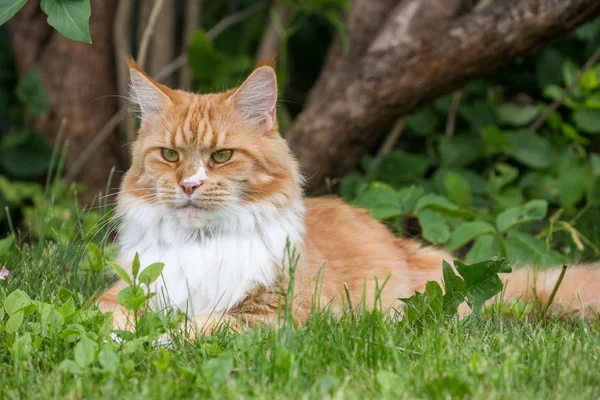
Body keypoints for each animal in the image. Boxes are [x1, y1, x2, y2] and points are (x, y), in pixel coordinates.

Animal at [98, 58, 600, 334]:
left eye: (221, 156)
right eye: (169, 155)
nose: (188, 185)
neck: (203, 244)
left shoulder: (269, 315)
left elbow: (190, 328)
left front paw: (154, 339)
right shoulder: (120, 295)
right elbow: (113, 323)